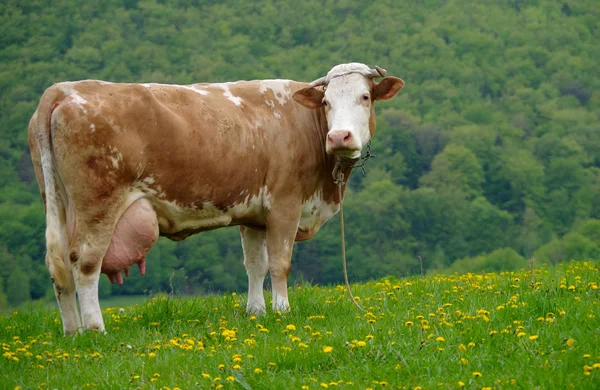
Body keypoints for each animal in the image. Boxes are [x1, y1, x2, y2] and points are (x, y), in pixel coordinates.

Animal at [27, 62, 404, 334]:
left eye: (365, 97)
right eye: (326, 102)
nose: (339, 136)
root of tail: (65, 89)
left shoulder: (254, 214)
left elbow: (256, 265)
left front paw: (256, 312)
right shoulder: (285, 203)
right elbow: (280, 262)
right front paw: (282, 310)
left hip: (57, 205)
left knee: (58, 265)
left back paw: (72, 331)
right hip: (98, 206)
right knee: (85, 263)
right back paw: (95, 329)